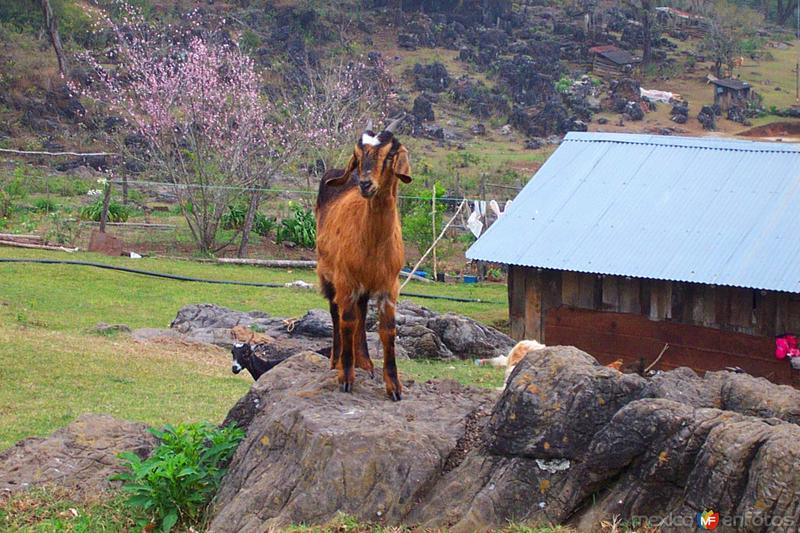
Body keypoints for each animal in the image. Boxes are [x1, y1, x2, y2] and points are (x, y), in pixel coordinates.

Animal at [314, 116, 412, 400]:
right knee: (336, 313)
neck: (373, 244)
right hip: (327, 272)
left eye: (389, 154)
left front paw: (393, 386)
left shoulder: (389, 285)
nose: (366, 184)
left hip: (364, 285)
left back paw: (365, 363)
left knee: (361, 311)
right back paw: (337, 360)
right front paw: (346, 376)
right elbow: (347, 321)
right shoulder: (345, 279)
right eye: (357, 156)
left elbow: (387, 329)